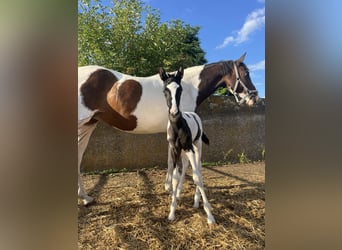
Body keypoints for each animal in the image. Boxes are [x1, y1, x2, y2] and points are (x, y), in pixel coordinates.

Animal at [78, 52, 260, 205]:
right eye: (246, 73)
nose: (255, 97)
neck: (189, 87)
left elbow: (171, 160)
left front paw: (168, 187)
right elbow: (182, 163)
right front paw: (176, 192)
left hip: (88, 125)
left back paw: (86, 197)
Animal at [160, 67, 214, 225]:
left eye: (180, 89)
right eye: (165, 90)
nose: (174, 113)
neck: (178, 126)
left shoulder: (189, 147)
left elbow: (196, 177)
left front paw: (209, 215)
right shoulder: (174, 149)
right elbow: (174, 177)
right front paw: (172, 212)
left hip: (197, 145)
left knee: (198, 167)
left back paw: (196, 201)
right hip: (183, 151)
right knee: (184, 165)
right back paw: (179, 193)